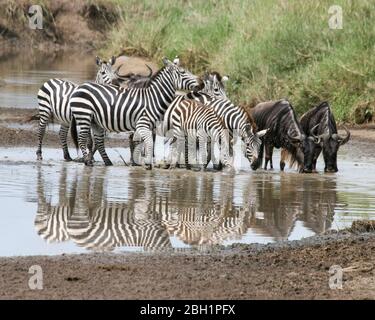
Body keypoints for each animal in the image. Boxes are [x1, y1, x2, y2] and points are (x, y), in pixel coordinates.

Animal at [69, 57, 201, 170]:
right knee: (82, 139)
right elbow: (148, 143)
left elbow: (144, 143)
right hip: (84, 116)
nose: (202, 83)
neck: (153, 98)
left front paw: (142, 162)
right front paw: (146, 164)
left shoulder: (149, 126)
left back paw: (107, 163)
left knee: (99, 141)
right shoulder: (142, 124)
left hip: (94, 121)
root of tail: (81, 86)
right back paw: (88, 162)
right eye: (183, 72)